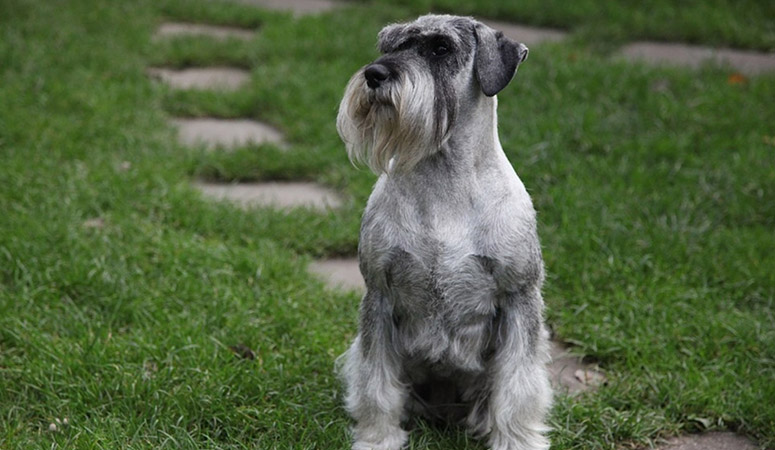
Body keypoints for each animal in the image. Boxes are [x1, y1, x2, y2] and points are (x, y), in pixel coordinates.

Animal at [338, 14, 552, 450]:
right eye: (389, 45)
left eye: (440, 48)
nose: (375, 74)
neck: (444, 182)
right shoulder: (379, 295)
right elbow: (377, 382)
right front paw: (378, 438)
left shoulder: (520, 298)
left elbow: (518, 386)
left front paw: (518, 439)